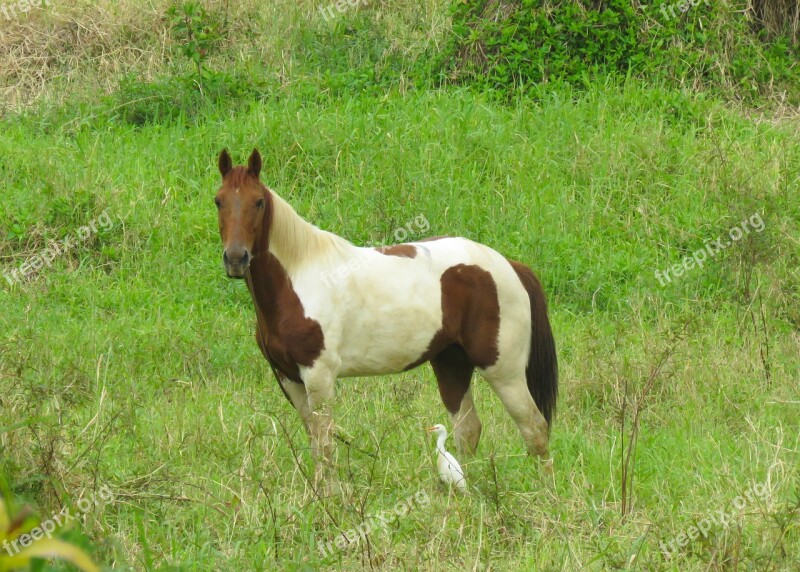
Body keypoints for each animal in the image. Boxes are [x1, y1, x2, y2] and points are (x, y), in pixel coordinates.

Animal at [216, 147, 560, 488]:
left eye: (258, 202)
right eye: (219, 200)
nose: (235, 259)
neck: (300, 279)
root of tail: (510, 266)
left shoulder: (319, 375)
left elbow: (325, 444)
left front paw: (328, 497)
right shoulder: (288, 376)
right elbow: (314, 441)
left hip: (503, 370)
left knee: (534, 428)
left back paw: (545, 492)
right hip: (451, 362)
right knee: (468, 430)